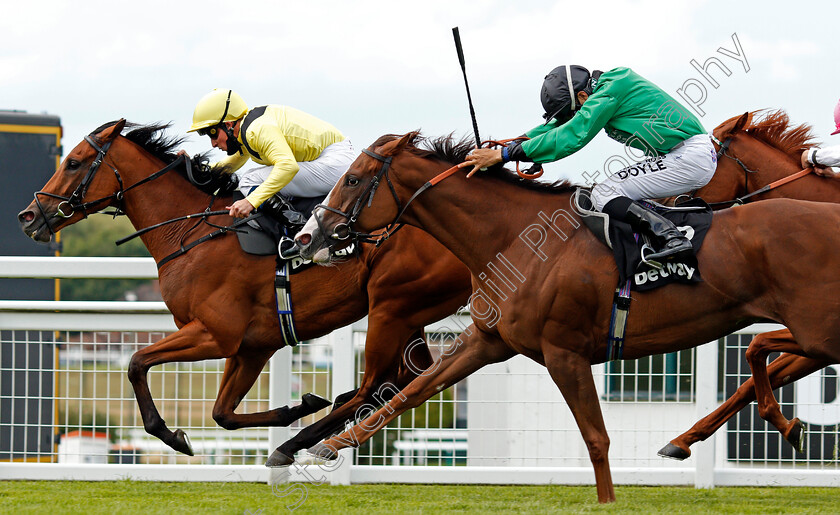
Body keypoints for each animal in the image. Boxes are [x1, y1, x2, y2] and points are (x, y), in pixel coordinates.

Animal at [16, 121, 472, 460]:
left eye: (73, 162)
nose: (28, 216)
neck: (192, 231)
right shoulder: (252, 345)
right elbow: (223, 413)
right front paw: (298, 405)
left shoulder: (217, 334)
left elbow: (136, 362)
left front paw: (170, 434)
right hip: (408, 311)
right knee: (406, 377)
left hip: (391, 305)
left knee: (379, 382)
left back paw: (300, 442)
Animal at [296, 131, 840, 502]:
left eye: (352, 179)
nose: (307, 236)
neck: (517, 238)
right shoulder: (487, 342)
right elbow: (409, 392)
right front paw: (325, 445)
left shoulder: (564, 352)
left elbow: (597, 439)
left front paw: (608, 501)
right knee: (763, 350)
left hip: (820, 329)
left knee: (762, 346)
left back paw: (777, 422)